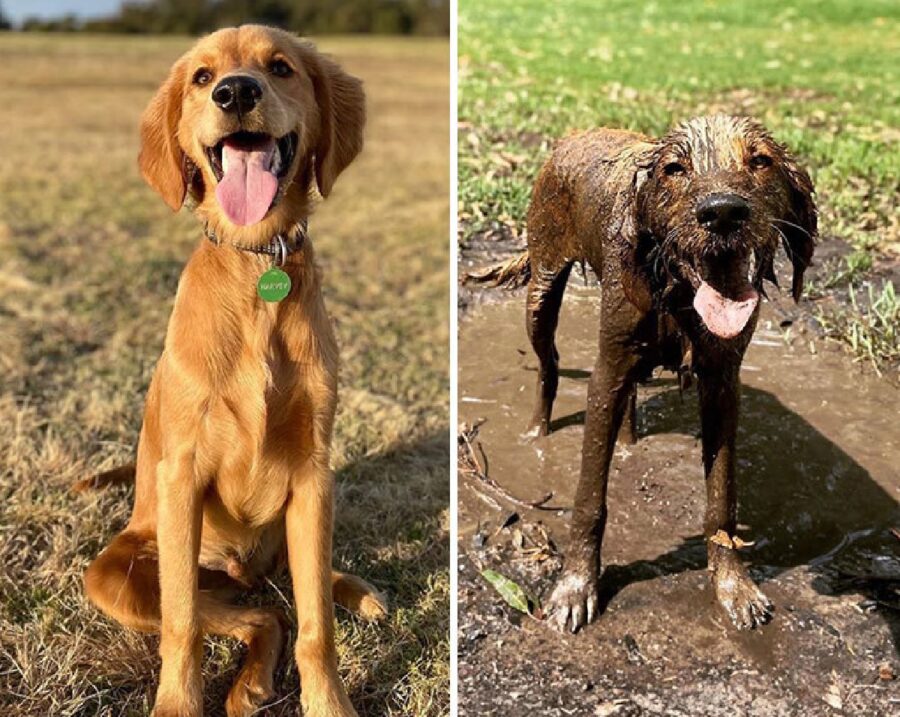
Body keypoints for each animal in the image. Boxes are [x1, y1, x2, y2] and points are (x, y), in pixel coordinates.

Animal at [77, 23, 384, 716]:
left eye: (281, 67)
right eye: (201, 76)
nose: (236, 92)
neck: (255, 264)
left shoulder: (314, 475)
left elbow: (317, 624)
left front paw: (329, 703)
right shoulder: (183, 474)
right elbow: (183, 625)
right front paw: (177, 705)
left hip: (292, 528)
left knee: (290, 596)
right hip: (118, 572)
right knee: (251, 614)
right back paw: (246, 687)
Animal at [478, 116, 816, 632]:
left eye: (761, 161)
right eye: (675, 168)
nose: (722, 213)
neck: (674, 289)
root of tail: (576, 134)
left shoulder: (722, 382)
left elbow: (721, 501)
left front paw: (733, 586)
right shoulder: (606, 371)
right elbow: (588, 500)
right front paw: (575, 588)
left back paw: (629, 440)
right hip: (542, 287)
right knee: (548, 365)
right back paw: (537, 430)